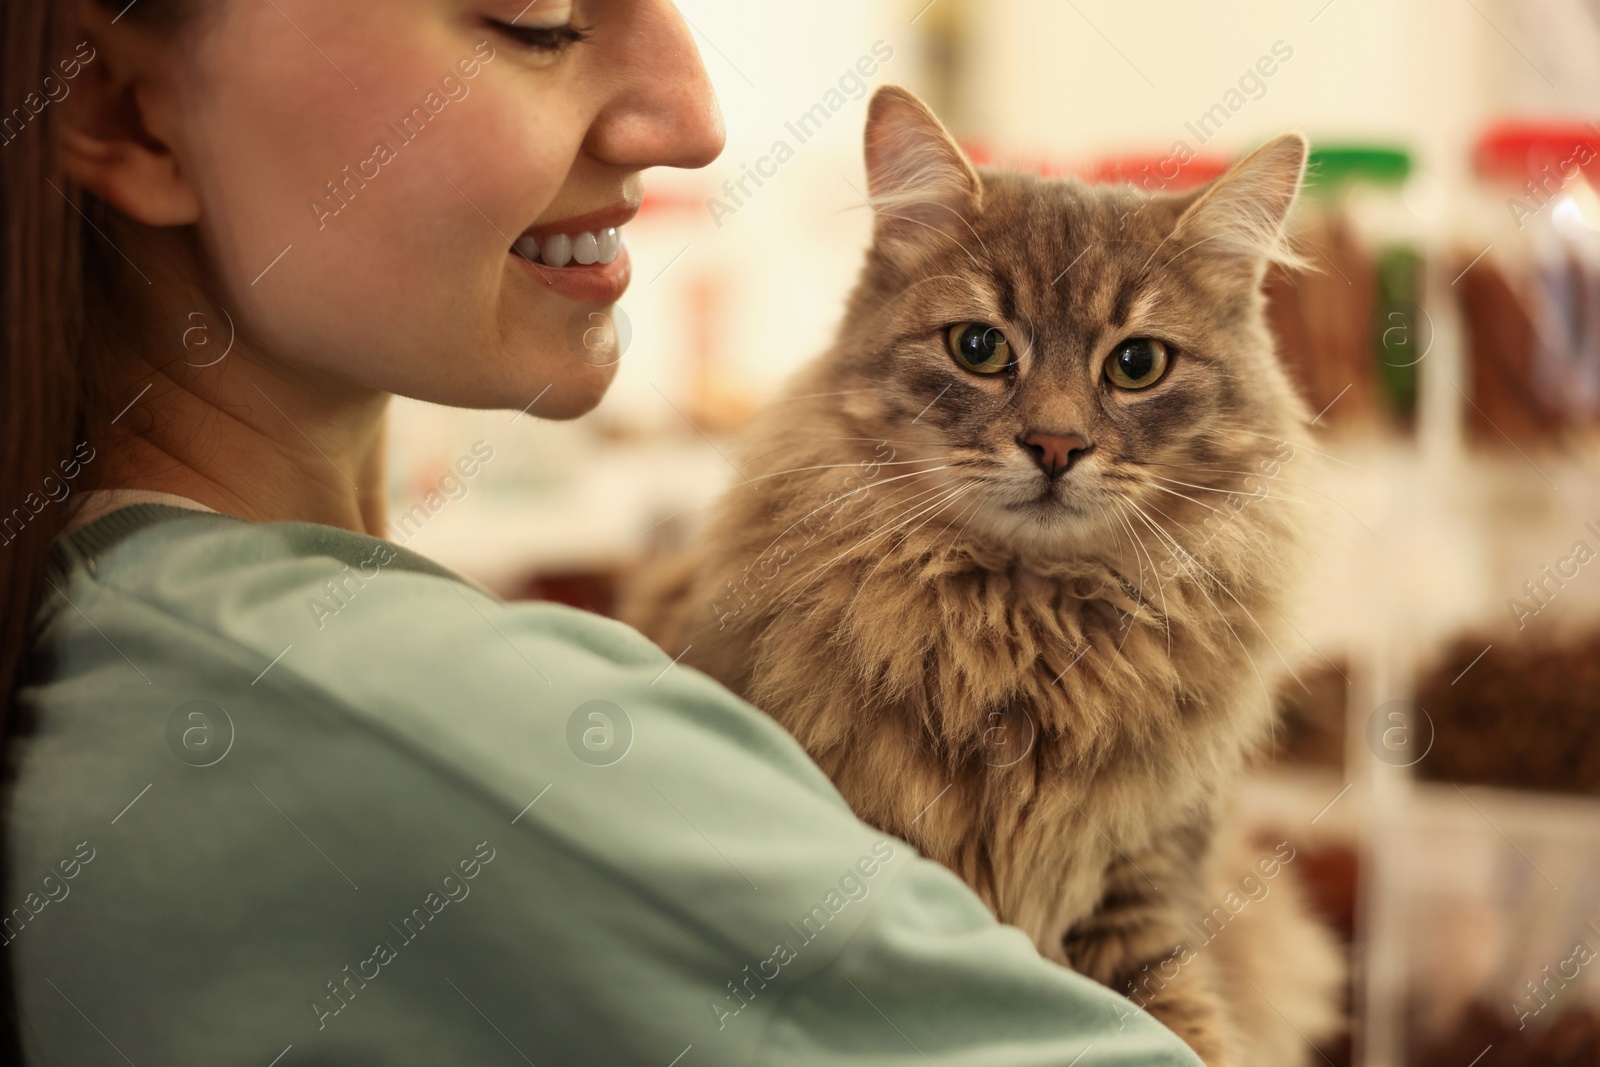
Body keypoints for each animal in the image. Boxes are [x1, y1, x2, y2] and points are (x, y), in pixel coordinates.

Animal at [617, 85, 1344, 1067]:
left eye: (1138, 363)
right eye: (978, 347)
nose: (1056, 445)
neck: (1028, 628)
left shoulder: (1146, 896)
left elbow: (1192, 1028)